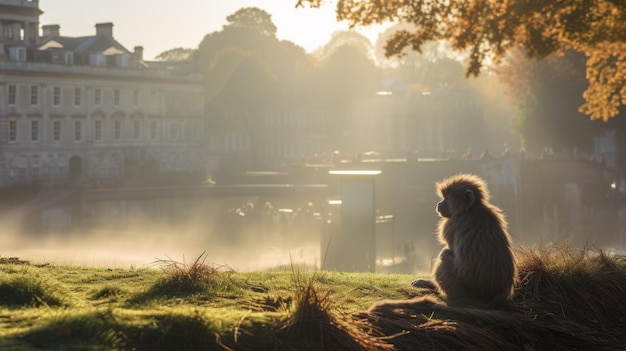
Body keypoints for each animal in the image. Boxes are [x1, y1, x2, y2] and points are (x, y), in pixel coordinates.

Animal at [408, 173, 516, 308]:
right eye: (444, 197)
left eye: (447, 198)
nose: (439, 203)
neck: (470, 209)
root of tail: (490, 298)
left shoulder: (451, 225)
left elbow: (449, 253)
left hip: (462, 290)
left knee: (444, 260)